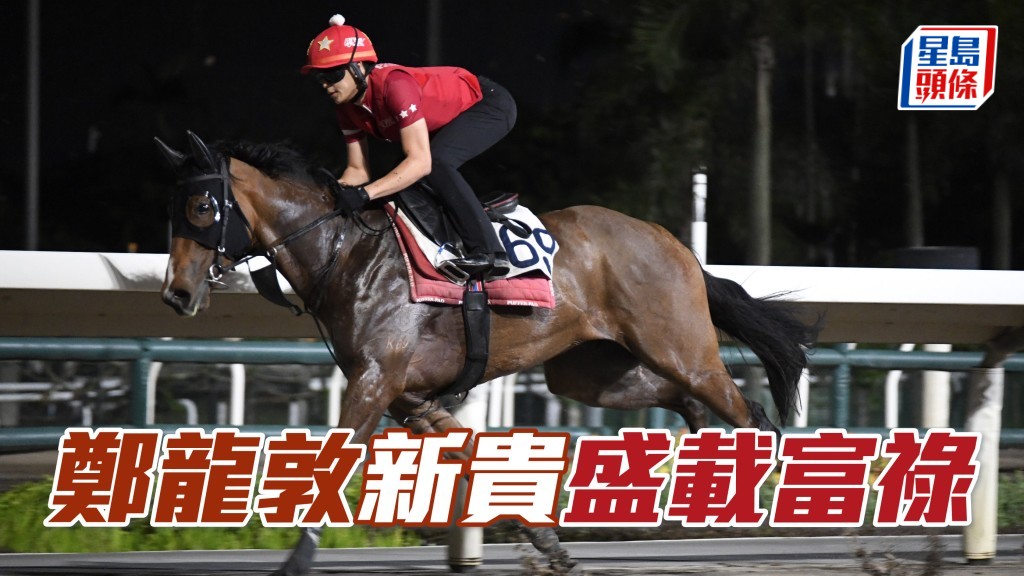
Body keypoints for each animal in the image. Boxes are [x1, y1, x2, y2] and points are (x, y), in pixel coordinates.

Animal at [155, 131, 818, 576]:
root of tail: (675, 243)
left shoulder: (375, 382)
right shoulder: (409, 398)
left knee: (743, 410)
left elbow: (332, 466)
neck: (344, 254)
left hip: (679, 347)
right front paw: (547, 544)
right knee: (689, 403)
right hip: (591, 373)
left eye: (201, 207)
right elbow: (477, 461)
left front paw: (295, 563)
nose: (176, 295)